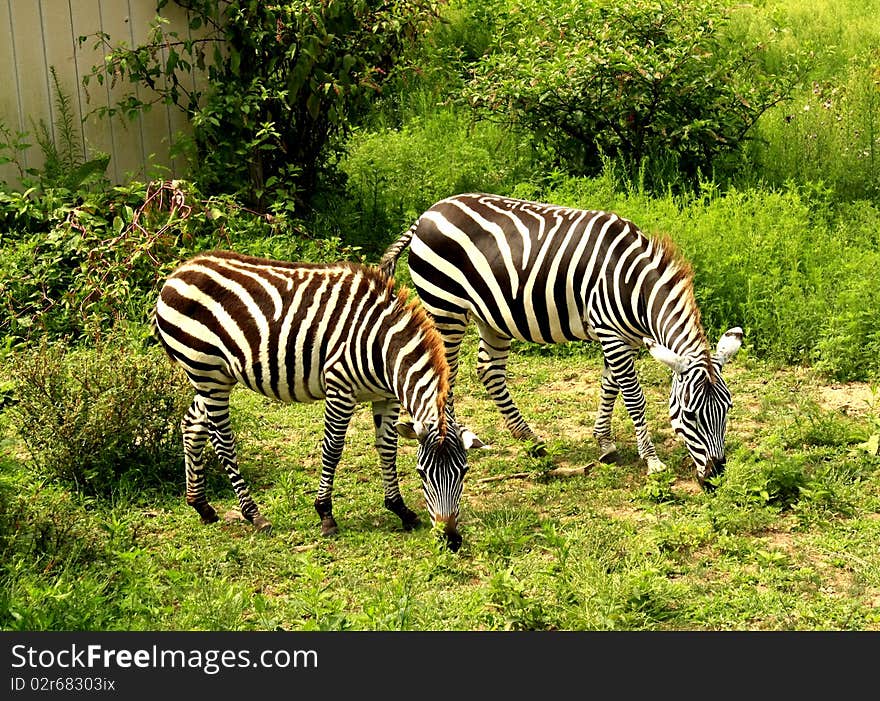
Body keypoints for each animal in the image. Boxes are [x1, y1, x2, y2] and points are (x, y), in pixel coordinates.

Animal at [150, 252, 482, 552]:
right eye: (422, 473)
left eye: (464, 472)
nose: (450, 540)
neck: (383, 347)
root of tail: (176, 274)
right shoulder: (339, 387)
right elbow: (332, 449)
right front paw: (325, 514)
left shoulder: (385, 397)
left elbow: (388, 449)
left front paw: (400, 509)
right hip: (207, 373)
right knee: (222, 441)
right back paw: (254, 514)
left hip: (212, 377)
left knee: (192, 425)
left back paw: (201, 505)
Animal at [380, 191, 744, 486]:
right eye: (690, 415)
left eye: (727, 409)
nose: (716, 476)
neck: (633, 285)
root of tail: (427, 214)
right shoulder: (610, 332)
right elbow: (633, 396)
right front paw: (652, 459)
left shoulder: (620, 335)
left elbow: (609, 385)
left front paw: (605, 442)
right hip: (445, 308)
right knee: (447, 376)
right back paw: (457, 437)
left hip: (490, 315)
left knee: (488, 370)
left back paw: (531, 441)